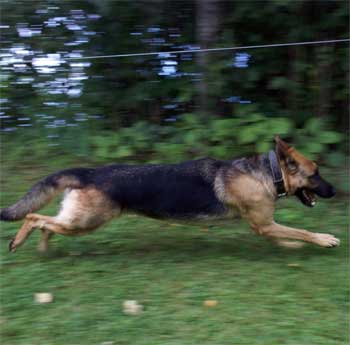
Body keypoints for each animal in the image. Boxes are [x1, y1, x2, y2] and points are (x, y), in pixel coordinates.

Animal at [0, 136, 340, 251]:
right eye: (315, 173)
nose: (336, 191)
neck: (268, 173)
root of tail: (90, 173)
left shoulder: (264, 226)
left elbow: (286, 236)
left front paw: (290, 247)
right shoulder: (264, 223)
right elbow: (302, 231)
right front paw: (324, 239)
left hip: (77, 221)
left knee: (46, 223)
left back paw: (43, 246)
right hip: (85, 222)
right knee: (34, 217)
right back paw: (21, 241)